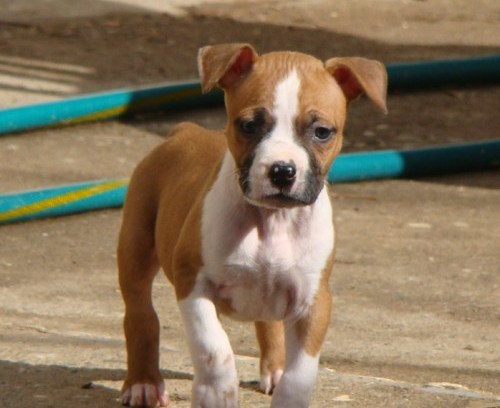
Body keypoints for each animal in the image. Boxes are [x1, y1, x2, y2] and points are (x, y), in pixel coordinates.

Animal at [118, 43, 386, 406]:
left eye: (321, 132)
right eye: (248, 126)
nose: (282, 171)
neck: (271, 220)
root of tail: (183, 130)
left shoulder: (313, 302)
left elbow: (300, 375)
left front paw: (287, 393)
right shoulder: (193, 283)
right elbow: (214, 349)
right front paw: (216, 393)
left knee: (268, 325)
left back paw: (274, 369)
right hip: (136, 246)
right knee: (141, 315)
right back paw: (143, 383)